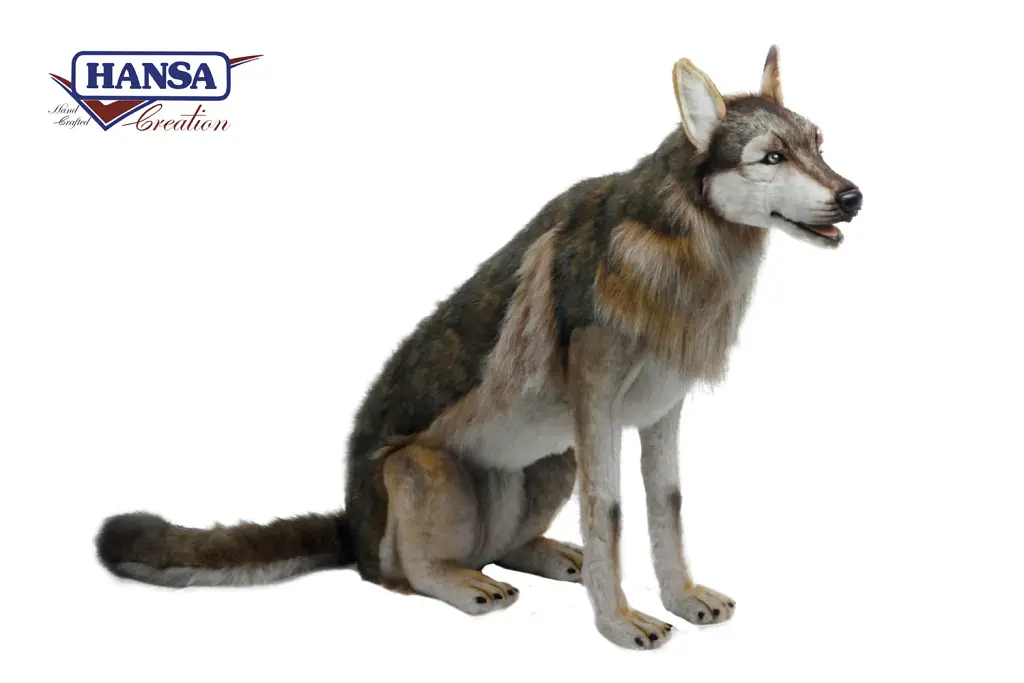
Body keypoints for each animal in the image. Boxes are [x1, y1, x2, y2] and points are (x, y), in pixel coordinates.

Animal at [96, 46, 861, 650]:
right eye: (771, 157)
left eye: (818, 144)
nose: (853, 196)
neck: (677, 252)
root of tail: (349, 527)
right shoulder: (599, 414)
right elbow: (611, 515)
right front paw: (618, 624)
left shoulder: (656, 415)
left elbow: (664, 510)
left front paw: (681, 599)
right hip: (425, 470)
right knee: (407, 576)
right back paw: (466, 584)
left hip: (552, 458)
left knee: (509, 548)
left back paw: (549, 556)